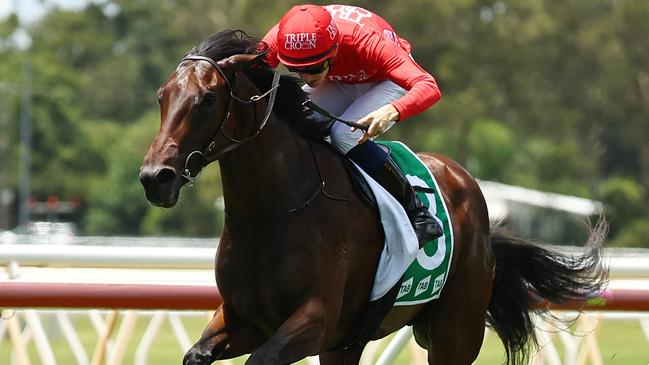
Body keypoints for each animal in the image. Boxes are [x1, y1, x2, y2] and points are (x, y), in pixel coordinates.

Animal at [140, 29, 608, 362]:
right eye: (162, 96)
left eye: (208, 98)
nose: (154, 177)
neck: (273, 211)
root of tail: (464, 180)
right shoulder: (244, 319)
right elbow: (196, 354)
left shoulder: (315, 320)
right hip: (349, 343)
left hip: (456, 332)